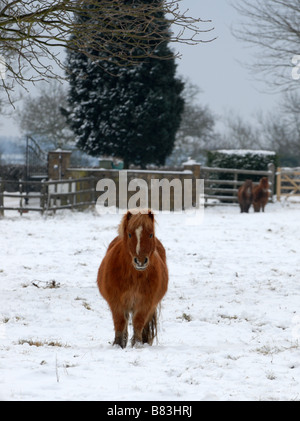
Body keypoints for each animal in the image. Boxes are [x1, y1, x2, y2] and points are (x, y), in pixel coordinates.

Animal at [98, 208, 169, 348]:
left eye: (150, 234)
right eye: (130, 235)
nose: (140, 261)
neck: (134, 277)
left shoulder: (145, 303)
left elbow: (138, 323)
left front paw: (137, 344)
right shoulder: (116, 303)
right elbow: (120, 323)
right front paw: (118, 344)